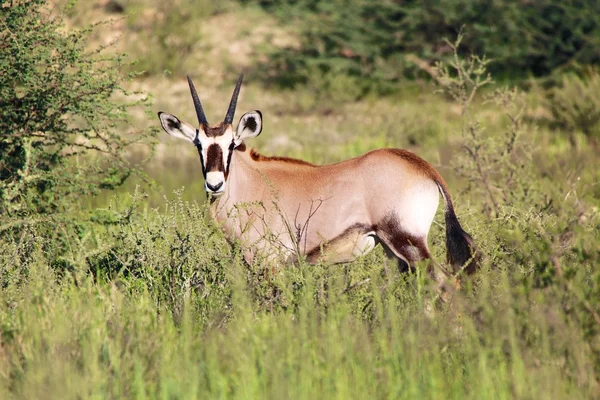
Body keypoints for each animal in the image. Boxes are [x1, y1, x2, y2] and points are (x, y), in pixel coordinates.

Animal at [157, 74, 480, 276]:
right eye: (199, 144)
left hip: (407, 241)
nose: (214, 184)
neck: (253, 184)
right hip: (395, 249)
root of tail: (424, 167)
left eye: (232, 145)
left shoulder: (270, 263)